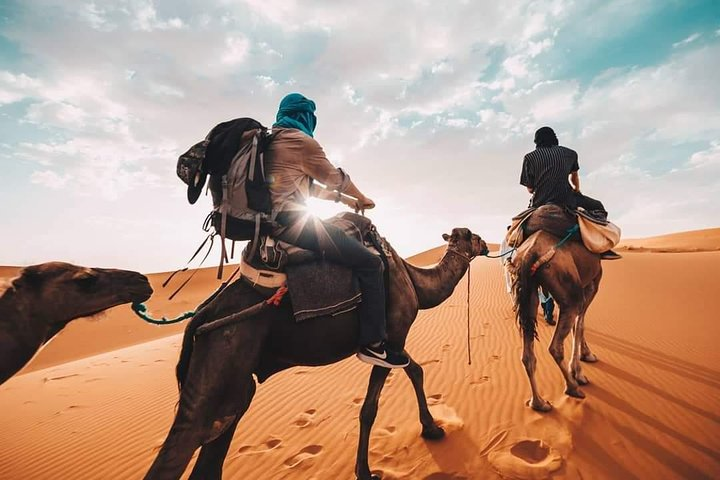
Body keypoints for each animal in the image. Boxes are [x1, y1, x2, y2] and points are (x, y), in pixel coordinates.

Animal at [143, 227, 486, 478]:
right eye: (471, 234)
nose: (485, 244)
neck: (414, 281)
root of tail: (203, 313)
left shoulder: (395, 345)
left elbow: (415, 369)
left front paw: (432, 429)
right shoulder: (390, 339)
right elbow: (369, 409)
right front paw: (364, 471)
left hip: (233, 384)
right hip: (223, 352)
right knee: (181, 446)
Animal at [506, 206, 600, 412]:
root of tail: (529, 254)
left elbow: (577, 326)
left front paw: (584, 357)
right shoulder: (592, 283)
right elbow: (580, 325)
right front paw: (580, 369)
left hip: (527, 291)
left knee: (527, 355)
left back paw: (539, 403)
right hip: (570, 293)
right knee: (555, 346)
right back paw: (573, 387)